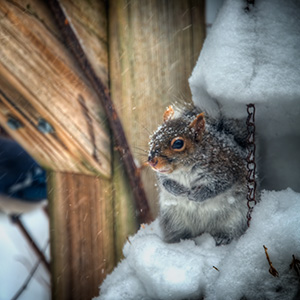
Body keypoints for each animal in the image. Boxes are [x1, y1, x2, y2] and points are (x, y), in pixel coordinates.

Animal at [148, 104, 253, 245]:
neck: (184, 170)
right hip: (173, 221)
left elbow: (219, 186)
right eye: (154, 137)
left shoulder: (228, 170)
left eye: (178, 143)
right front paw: (178, 190)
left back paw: (222, 239)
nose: (151, 161)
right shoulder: (163, 175)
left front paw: (196, 195)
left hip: (236, 220)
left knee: (231, 232)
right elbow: (165, 183)